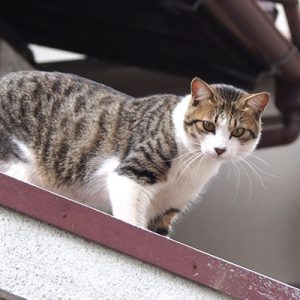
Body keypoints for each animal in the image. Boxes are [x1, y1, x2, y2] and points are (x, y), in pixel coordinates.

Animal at [0, 71, 270, 236]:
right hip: (18, 161)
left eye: (238, 131)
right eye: (208, 125)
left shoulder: (167, 208)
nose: (220, 149)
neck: (195, 163)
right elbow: (131, 221)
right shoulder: (130, 174)